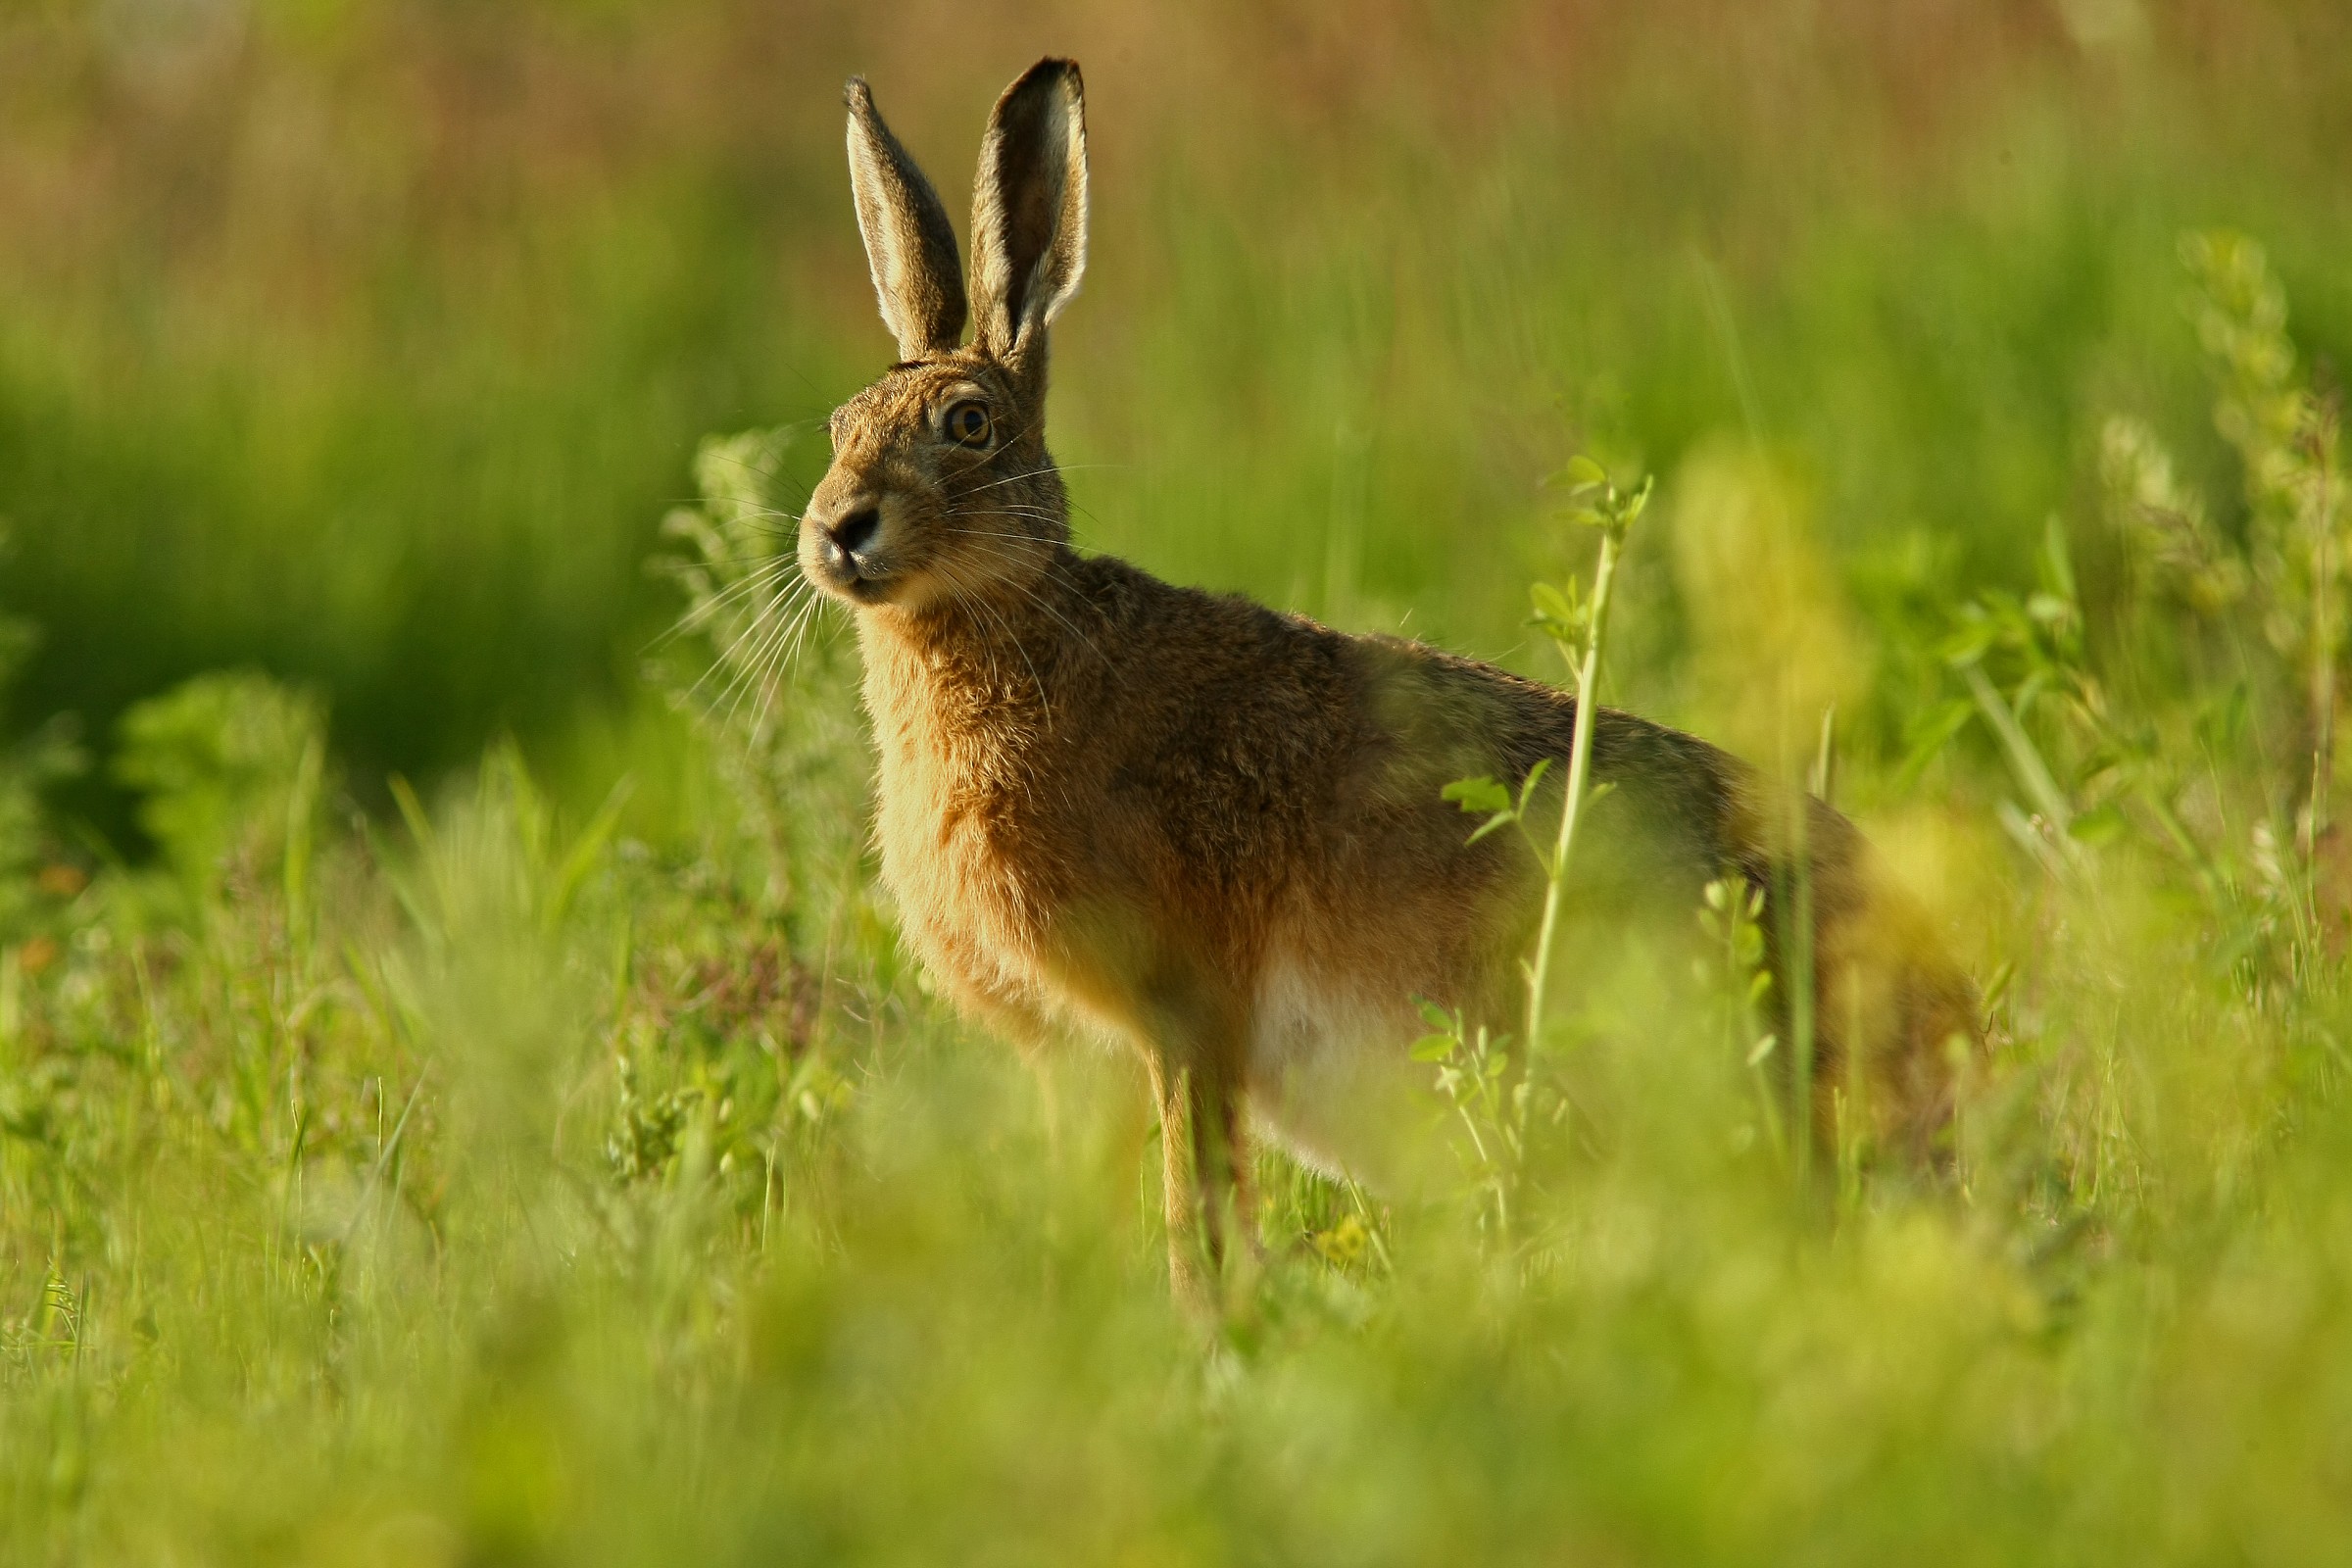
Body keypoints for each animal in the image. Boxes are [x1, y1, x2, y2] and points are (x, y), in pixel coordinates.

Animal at [798, 58, 1980, 1307]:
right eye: (837, 426)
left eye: (969, 423)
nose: (837, 530)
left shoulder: (1186, 1011)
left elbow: (1194, 1203)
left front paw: (1203, 1326)